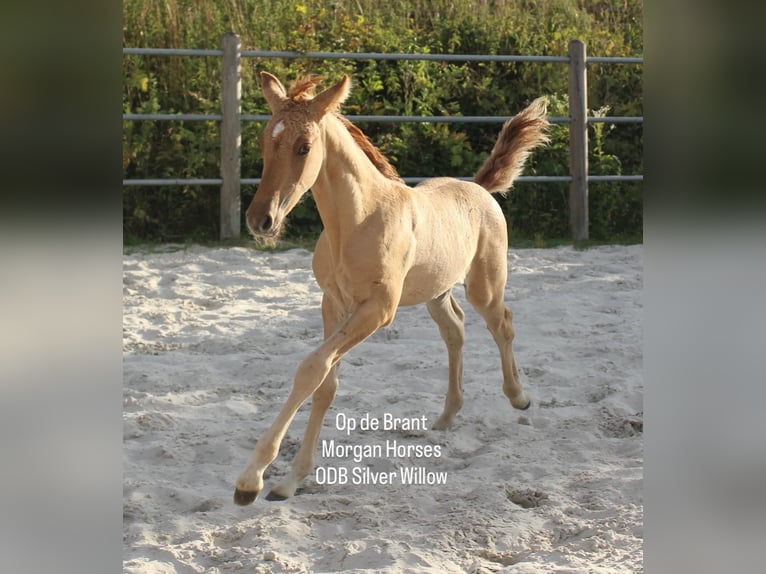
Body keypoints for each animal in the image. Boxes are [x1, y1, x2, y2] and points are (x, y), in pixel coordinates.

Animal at [234, 72, 550, 504]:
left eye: (304, 147)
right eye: (265, 141)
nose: (259, 220)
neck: (357, 221)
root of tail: (480, 188)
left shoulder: (378, 310)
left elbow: (312, 368)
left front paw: (251, 480)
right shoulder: (333, 303)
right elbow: (325, 382)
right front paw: (290, 481)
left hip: (484, 284)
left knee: (502, 323)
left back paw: (519, 396)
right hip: (436, 292)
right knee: (455, 330)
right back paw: (447, 416)